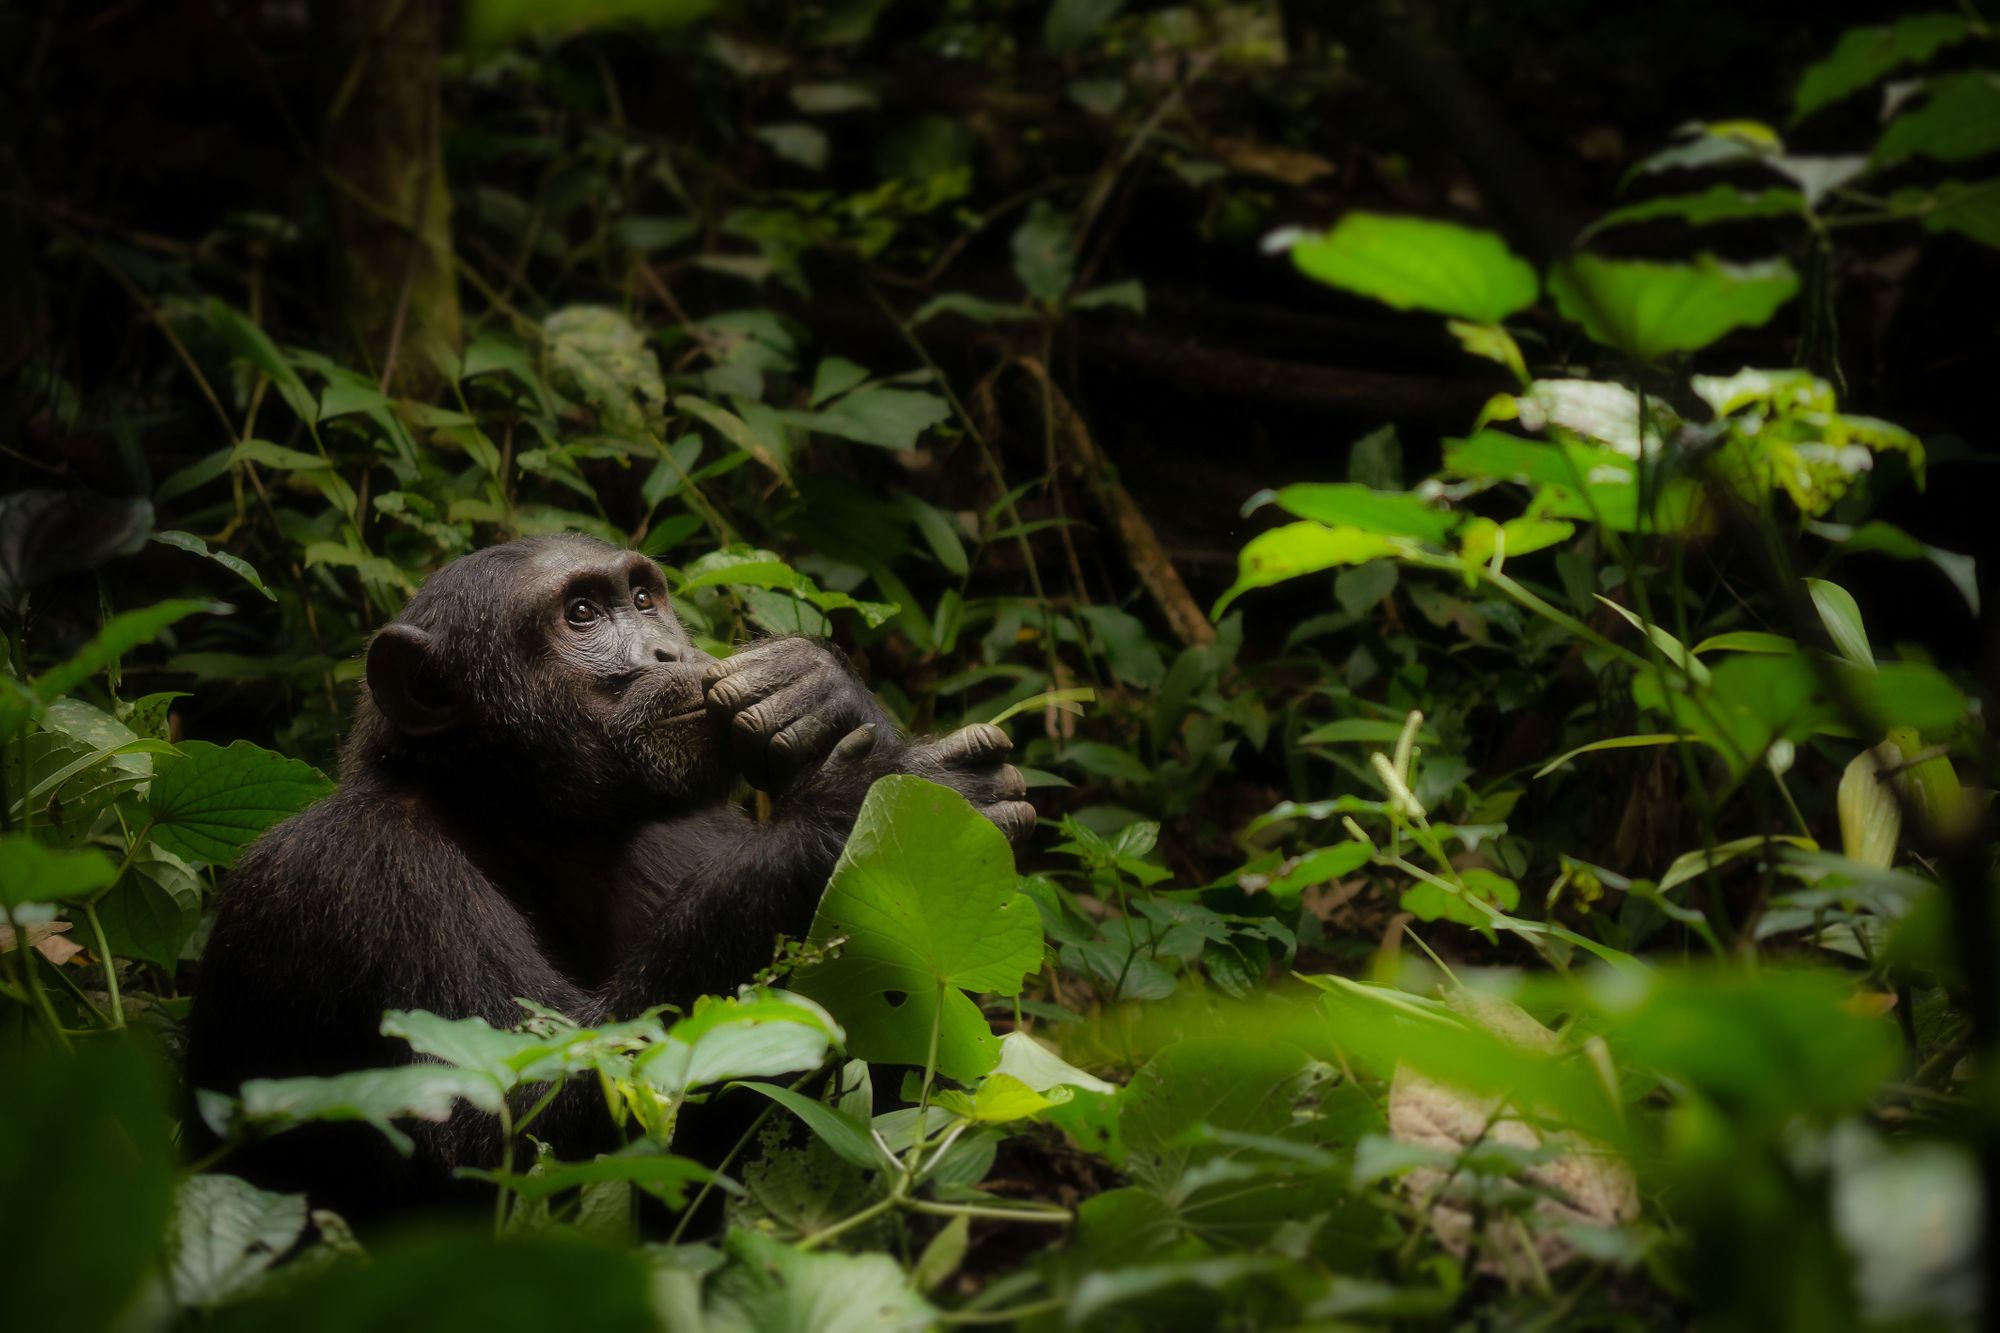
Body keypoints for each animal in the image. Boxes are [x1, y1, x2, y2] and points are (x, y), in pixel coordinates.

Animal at [182, 532, 1032, 1216]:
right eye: (583, 614)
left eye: (645, 599)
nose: (668, 651)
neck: (527, 818)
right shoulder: (362, 871)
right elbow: (513, 1115)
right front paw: (876, 800)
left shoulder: (695, 828)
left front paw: (816, 688)